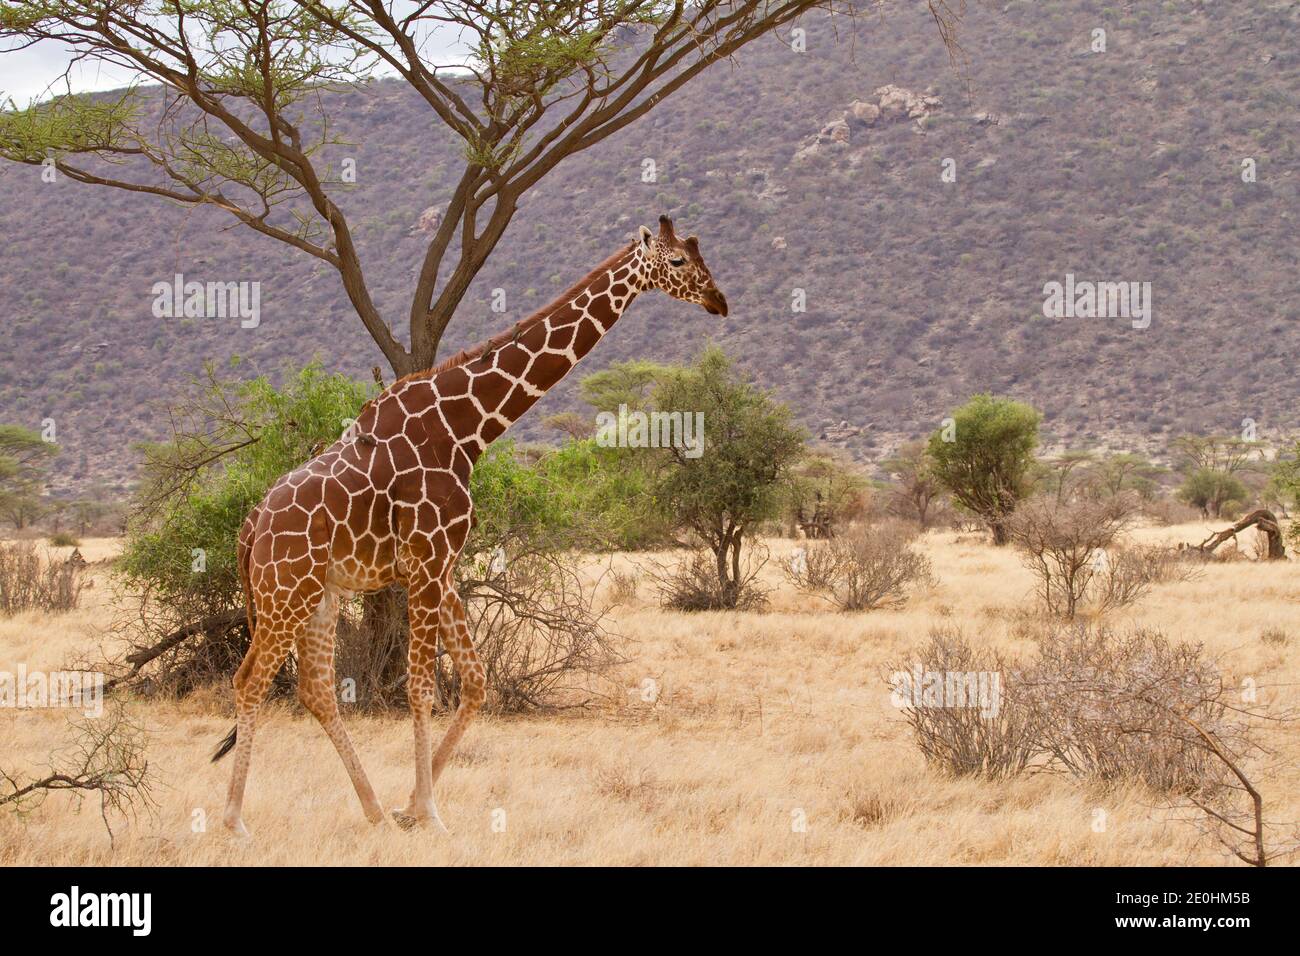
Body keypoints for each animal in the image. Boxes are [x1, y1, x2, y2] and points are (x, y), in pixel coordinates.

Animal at [213, 215, 727, 835]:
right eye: (677, 261)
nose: (719, 300)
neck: (466, 431)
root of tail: (249, 528)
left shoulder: (443, 564)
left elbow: (475, 680)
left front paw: (410, 806)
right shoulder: (427, 560)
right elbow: (420, 687)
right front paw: (431, 814)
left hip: (321, 593)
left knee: (316, 690)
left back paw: (372, 811)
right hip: (285, 591)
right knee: (251, 681)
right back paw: (234, 821)